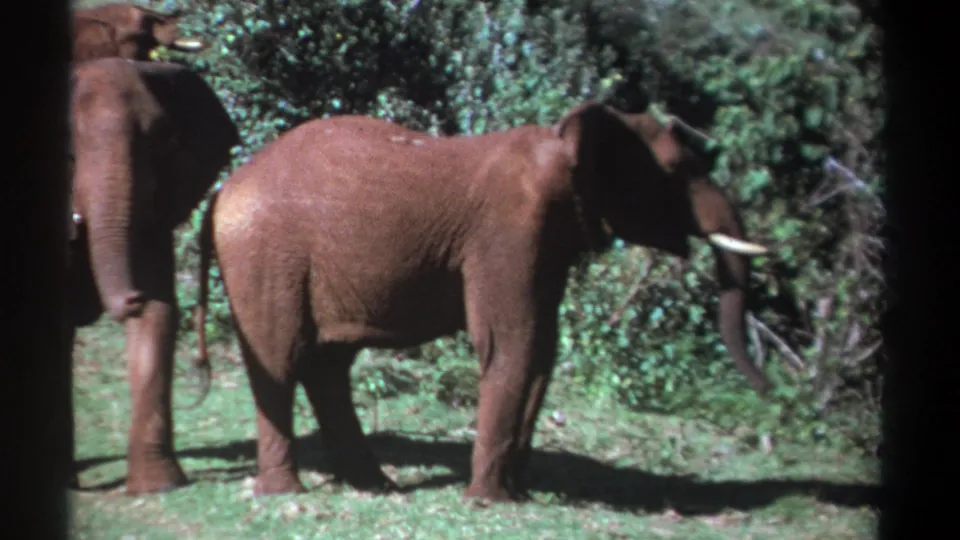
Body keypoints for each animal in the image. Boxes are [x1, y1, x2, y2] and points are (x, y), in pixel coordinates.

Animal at [190, 101, 772, 503]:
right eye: (676, 173)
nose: (767, 389)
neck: (559, 143)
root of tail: (223, 189)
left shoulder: (547, 240)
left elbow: (542, 350)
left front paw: (517, 494)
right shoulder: (509, 232)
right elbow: (511, 343)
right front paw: (489, 502)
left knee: (328, 365)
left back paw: (376, 486)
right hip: (265, 254)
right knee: (282, 358)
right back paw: (286, 492)